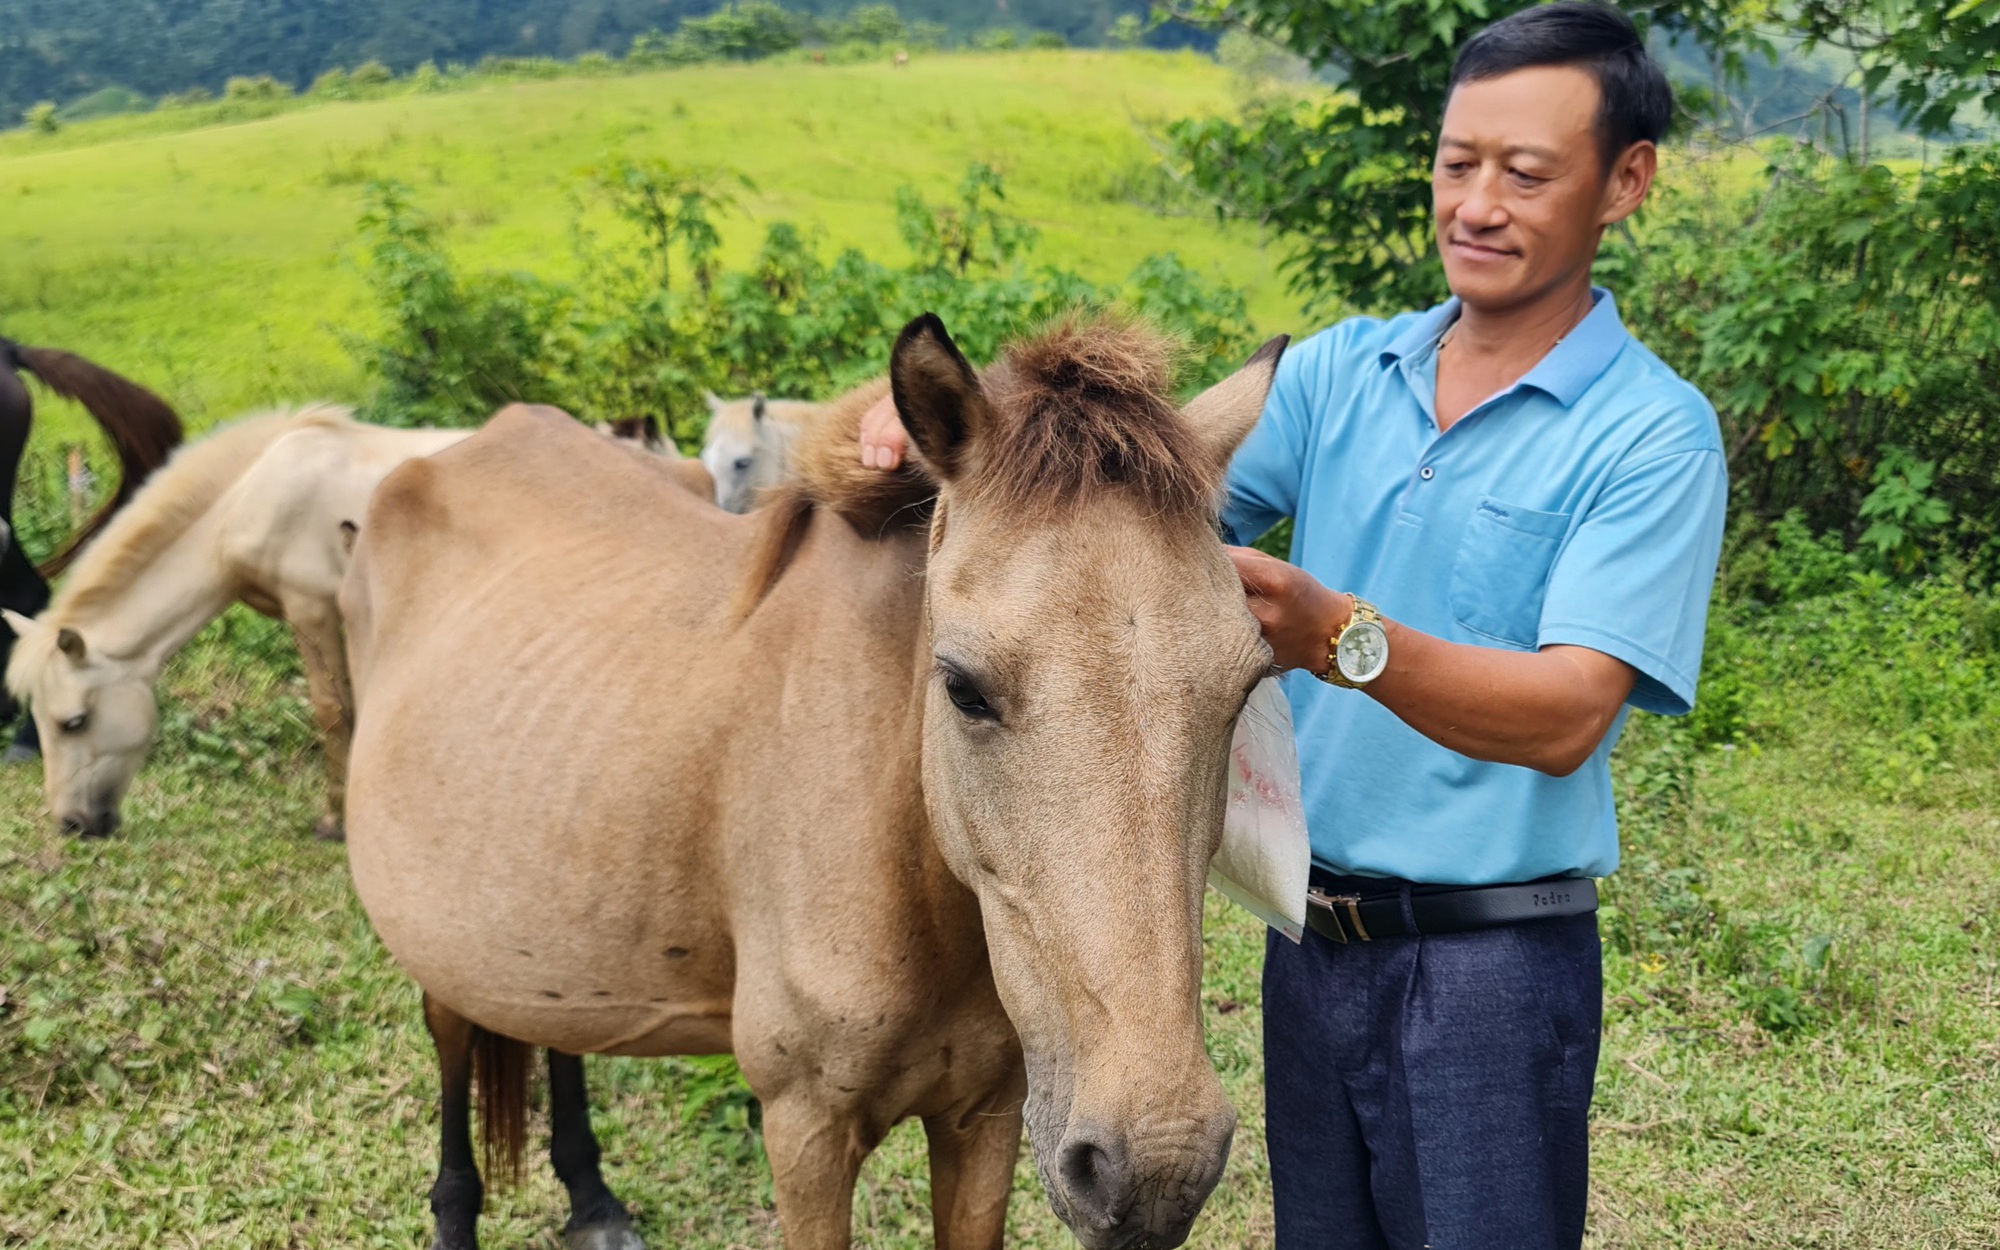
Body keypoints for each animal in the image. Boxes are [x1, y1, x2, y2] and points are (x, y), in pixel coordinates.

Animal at [4, 408, 472, 840]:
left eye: (74, 722)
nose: (71, 824)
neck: (249, 503)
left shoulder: (312, 609)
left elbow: (335, 711)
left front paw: (335, 823)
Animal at [338, 314, 1288, 1250]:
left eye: (1244, 684)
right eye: (963, 687)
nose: (1158, 1164)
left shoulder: (985, 1117)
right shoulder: (807, 1133)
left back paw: (593, 1201)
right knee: (452, 1035)